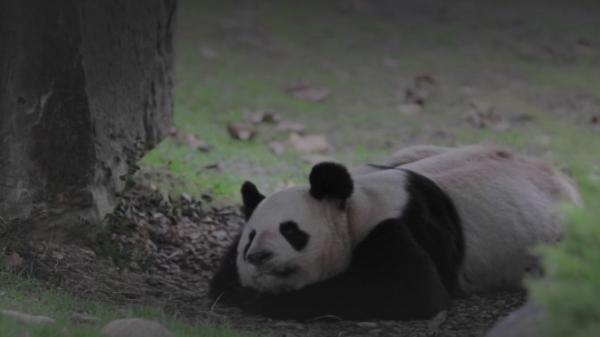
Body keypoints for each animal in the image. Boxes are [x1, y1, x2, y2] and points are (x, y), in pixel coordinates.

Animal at [211, 144, 580, 320]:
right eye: (251, 237)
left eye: (291, 231)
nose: (259, 257)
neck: (353, 205)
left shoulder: (396, 226)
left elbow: (405, 291)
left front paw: (257, 300)